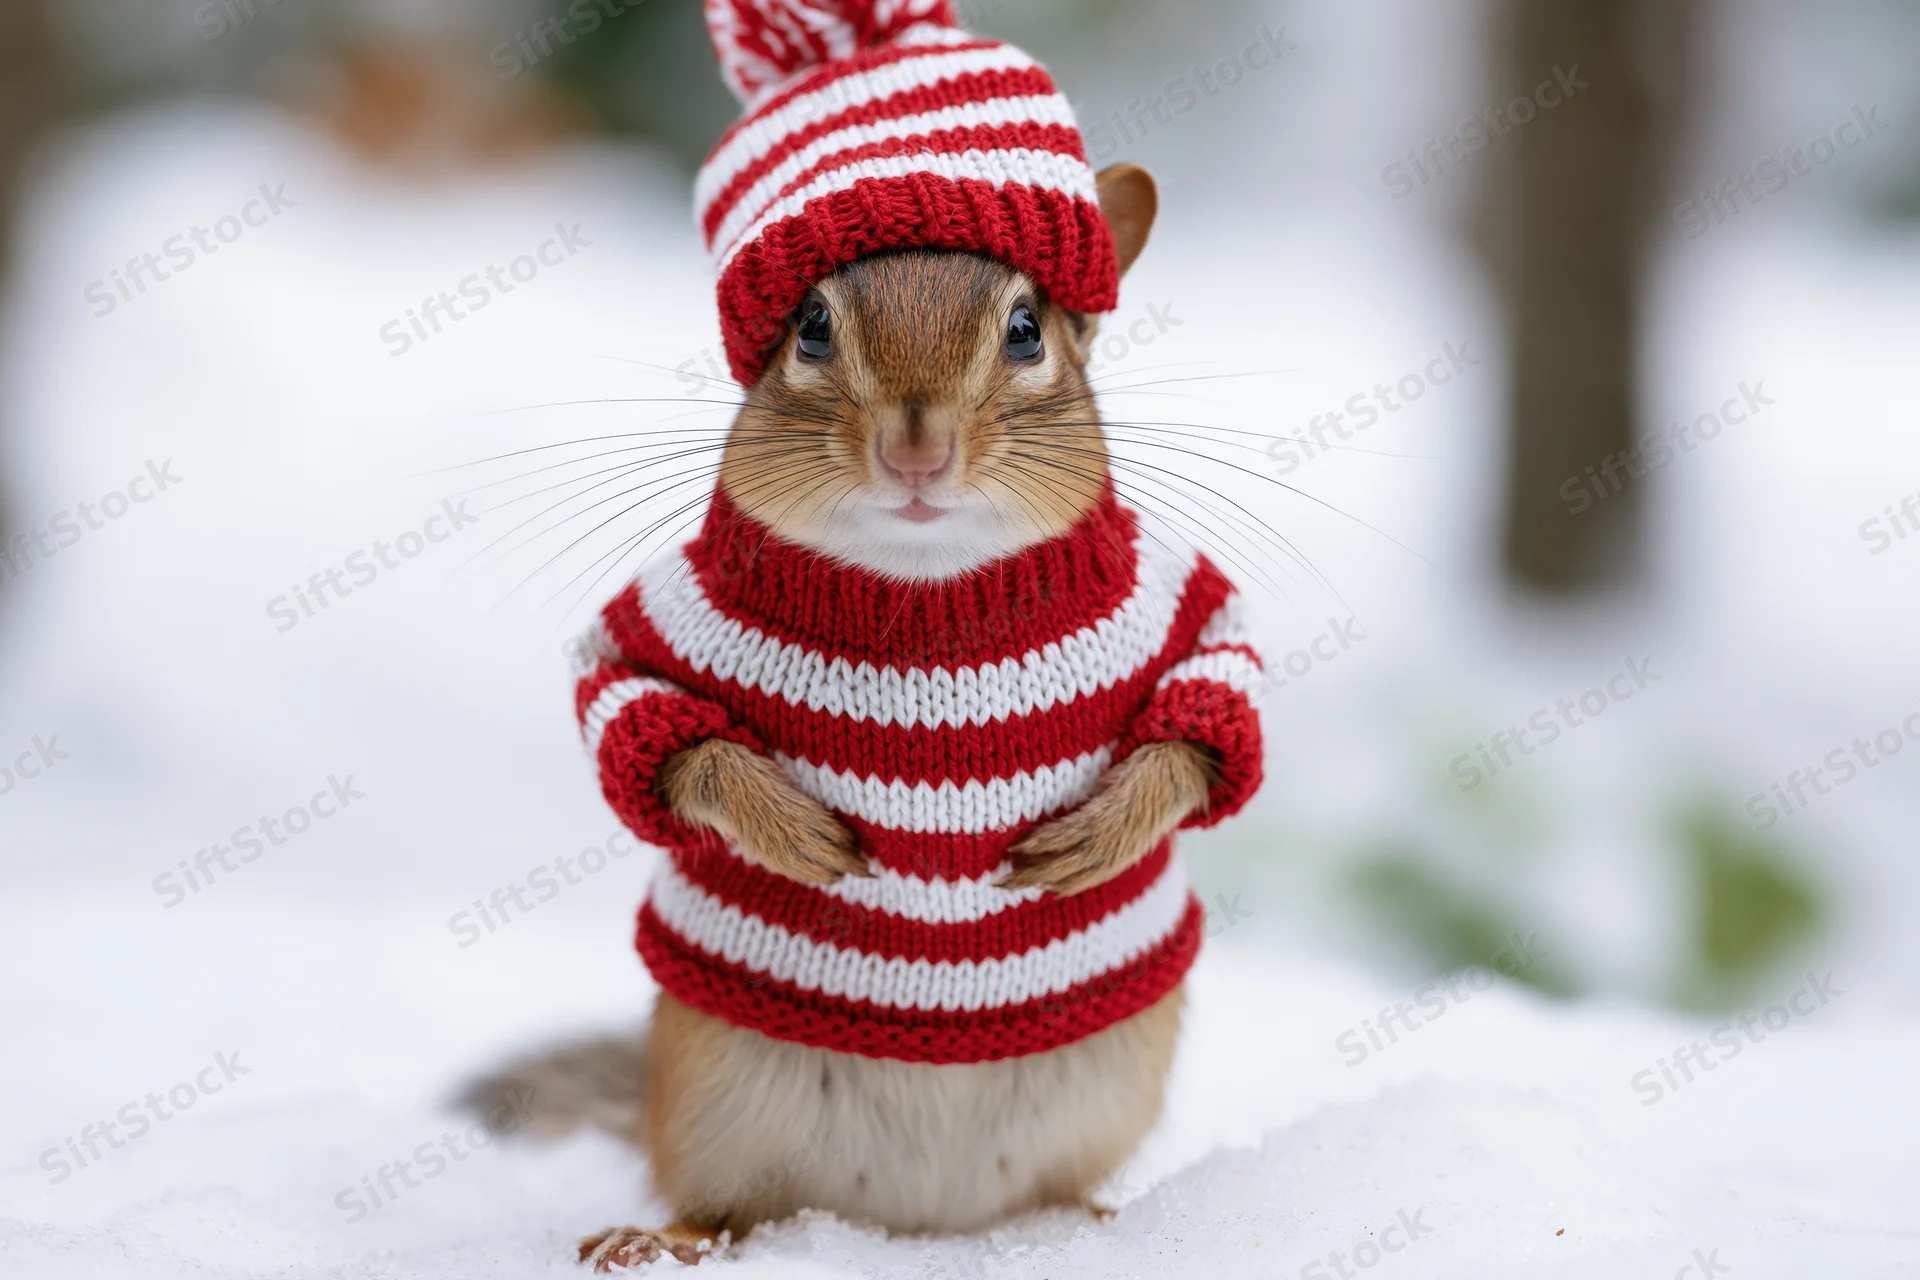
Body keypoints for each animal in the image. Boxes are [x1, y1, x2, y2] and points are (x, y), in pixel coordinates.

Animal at [461, 3, 1266, 1269]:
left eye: (1027, 328)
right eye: (810, 324)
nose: (916, 447)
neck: (926, 587)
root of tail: (909, 1222)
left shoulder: (1175, 600)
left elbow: (1214, 705)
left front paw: (1102, 832)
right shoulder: (658, 623)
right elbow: (637, 719)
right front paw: (784, 826)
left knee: (1054, 1191)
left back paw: (1105, 1219)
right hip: (713, 1092)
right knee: (720, 1203)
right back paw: (656, 1236)